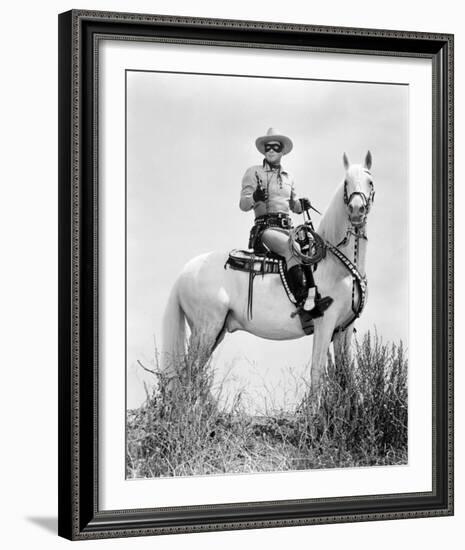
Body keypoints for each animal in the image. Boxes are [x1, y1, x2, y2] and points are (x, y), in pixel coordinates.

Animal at [161, 151, 376, 392]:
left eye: (370, 182)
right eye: (347, 183)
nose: (356, 210)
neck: (338, 268)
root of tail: (185, 272)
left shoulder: (343, 329)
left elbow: (345, 377)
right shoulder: (325, 323)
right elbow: (317, 372)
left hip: (214, 332)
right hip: (206, 329)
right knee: (187, 377)